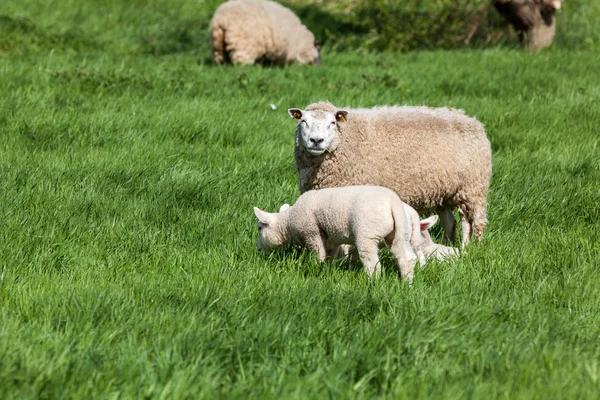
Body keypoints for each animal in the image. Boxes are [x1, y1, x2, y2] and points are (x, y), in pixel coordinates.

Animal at [252, 186, 426, 280]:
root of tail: (393, 202)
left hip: (367, 232)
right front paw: (328, 269)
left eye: (260, 228)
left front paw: (317, 267)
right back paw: (408, 283)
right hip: (400, 233)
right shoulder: (331, 238)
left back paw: (372, 281)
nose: (258, 250)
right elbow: (330, 255)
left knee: (372, 262)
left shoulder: (312, 232)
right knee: (405, 258)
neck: (290, 220)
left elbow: (319, 254)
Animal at [290, 101, 492, 247]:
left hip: (472, 189)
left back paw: (471, 248)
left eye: (332, 123)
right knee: (451, 222)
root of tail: (473, 121)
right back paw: (449, 245)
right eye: (303, 121)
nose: (316, 140)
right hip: (445, 191)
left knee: (473, 222)